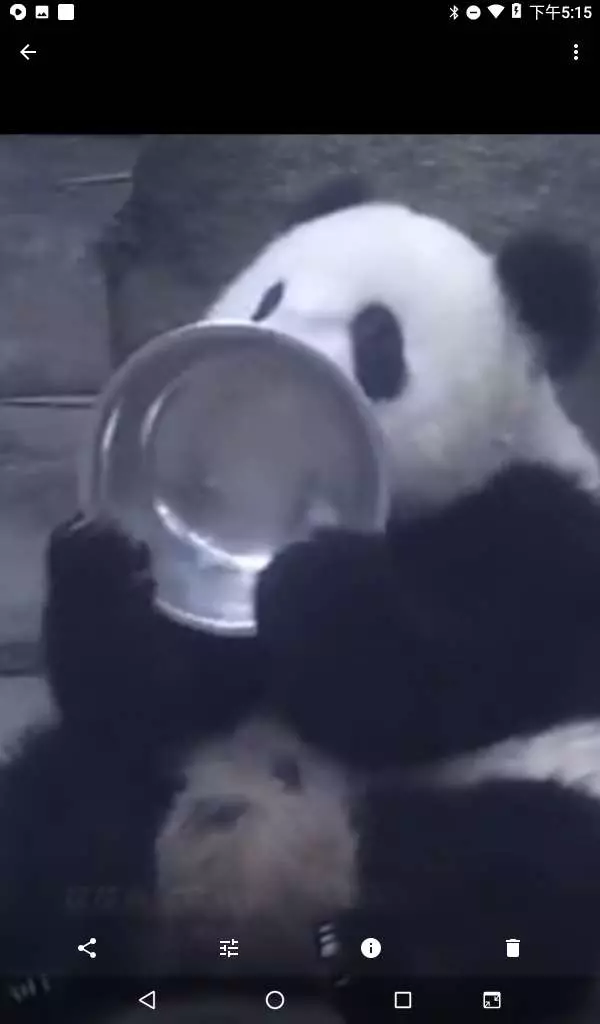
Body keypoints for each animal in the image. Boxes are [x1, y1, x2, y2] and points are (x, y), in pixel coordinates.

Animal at [4, 176, 600, 1022]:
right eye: (269, 297)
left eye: (379, 339)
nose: (277, 346)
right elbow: (147, 691)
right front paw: (108, 564)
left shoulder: (545, 531)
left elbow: (437, 683)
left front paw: (317, 581)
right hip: (160, 782)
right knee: (60, 805)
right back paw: (41, 965)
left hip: (522, 787)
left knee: (517, 869)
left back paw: (395, 964)